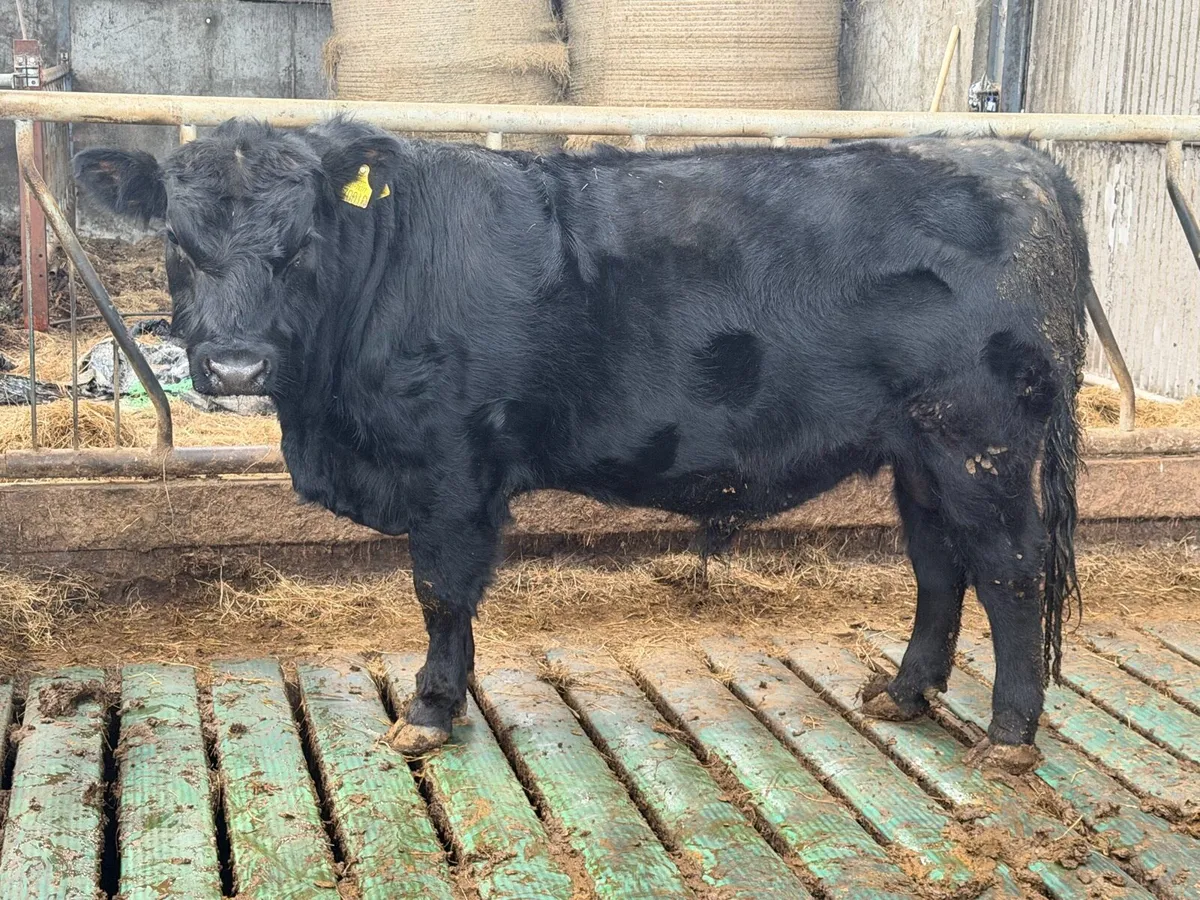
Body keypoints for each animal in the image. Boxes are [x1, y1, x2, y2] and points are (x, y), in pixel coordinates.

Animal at [75, 118, 1088, 772]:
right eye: (178, 238)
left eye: (305, 237)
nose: (237, 364)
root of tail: (1015, 160)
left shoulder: (452, 466)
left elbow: (440, 592)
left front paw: (430, 711)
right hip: (921, 452)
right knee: (938, 565)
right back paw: (904, 693)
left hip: (980, 440)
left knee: (1012, 571)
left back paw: (1008, 737)